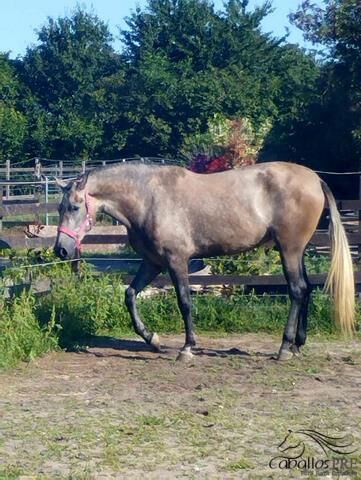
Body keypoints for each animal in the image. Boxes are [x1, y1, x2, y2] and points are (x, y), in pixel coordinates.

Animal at [54, 161, 354, 360]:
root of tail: (315, 179)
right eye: (60, 207)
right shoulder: (153, 262)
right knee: (306, 289)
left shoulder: (176, 261)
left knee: (297, 290)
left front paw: (187, 348)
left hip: (290, 250)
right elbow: (129, 295)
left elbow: (185, 302)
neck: (148, 199)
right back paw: (297, 344)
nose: (61, 250)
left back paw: (284, 348)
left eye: (75, 207)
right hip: (296, 251)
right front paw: (152, 340)